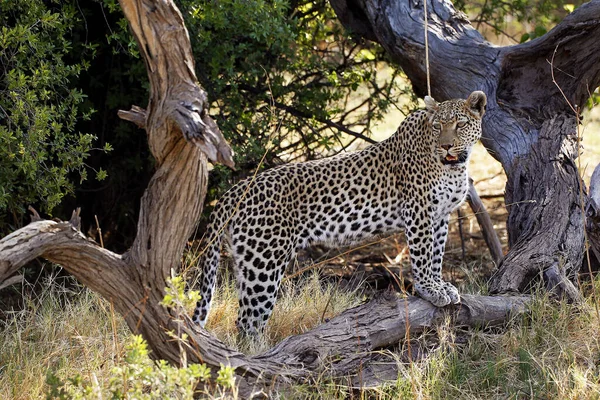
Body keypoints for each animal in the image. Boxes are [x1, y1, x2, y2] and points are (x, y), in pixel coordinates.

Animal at [192, 90, 488, 334]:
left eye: (460, 124)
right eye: (438, 127)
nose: (446, 145)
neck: (454, 166)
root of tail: (235, 190)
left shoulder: (440, 216)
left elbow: (437, 254)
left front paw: (440, 285)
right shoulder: (419, 212)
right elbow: (423, 255)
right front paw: (429, 289)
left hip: (248, 262)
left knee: (243, 317)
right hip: (264, 261)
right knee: (249, 321)